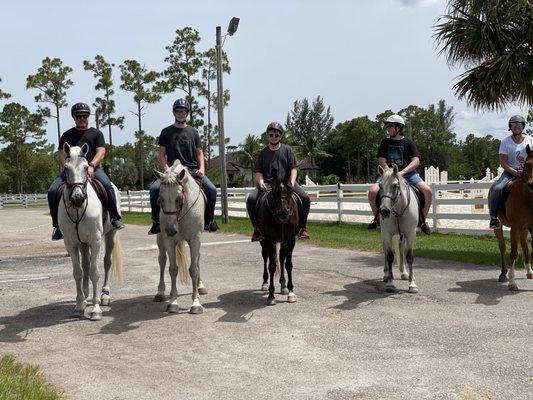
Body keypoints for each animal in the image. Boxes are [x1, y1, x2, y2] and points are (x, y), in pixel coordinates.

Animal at [58, 142, 122, 320]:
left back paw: (104, 295)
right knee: (85, 264)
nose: (78, 198)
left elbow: (94, 272)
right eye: (66, 168)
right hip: (82, 243)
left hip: (110, 235)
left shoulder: (96, 241)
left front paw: (96, 309)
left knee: (107, 262)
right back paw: (85, 295)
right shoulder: (71, 243)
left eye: (86, 168)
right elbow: (78, 272)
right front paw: (79, 305)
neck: (78, 211)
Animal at [154, 161, 206, 314]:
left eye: (178, 199)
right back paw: (160, 292)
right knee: (162, 260)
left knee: (197, 260)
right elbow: (173, 269)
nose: (171, 230)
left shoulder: (195, 239)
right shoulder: (169, 241)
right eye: (161, 199)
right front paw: (173, 302)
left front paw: (196, 303)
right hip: (160, 239)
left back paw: (201, 286)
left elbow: (194, 269)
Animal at [256, 170, 298, 304]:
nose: (283, 212)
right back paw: (265, 283)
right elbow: (272, 266)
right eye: (275, 192)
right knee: (265, 257)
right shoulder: (270, 239)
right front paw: (271, 295)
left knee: (281, 258)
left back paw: (283, 286)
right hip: (264, 242)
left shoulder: (290, 239)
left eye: (290, 189)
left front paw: (290, 292)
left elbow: (288, 264)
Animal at [376, 166, 418, 294]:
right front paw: (390, 283)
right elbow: (389, 256)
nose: (384, 211)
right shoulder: (387, 233)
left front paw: (412, 284)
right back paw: (386, 275)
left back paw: (405, 273)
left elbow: (409, 257)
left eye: (395, 185)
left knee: (400, 249)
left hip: (402, 235)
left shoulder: (410, 233)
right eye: (380, 186)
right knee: (386, 251)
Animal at [492, 145, 532, 290]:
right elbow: (513, 253)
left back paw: (529, 272)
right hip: (499, 227)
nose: (532, 184)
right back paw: (503, 274)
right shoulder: (515, 227)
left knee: (525, 246)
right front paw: (512, 282)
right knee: (502, 247)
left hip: (524, 229)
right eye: (527, 164)